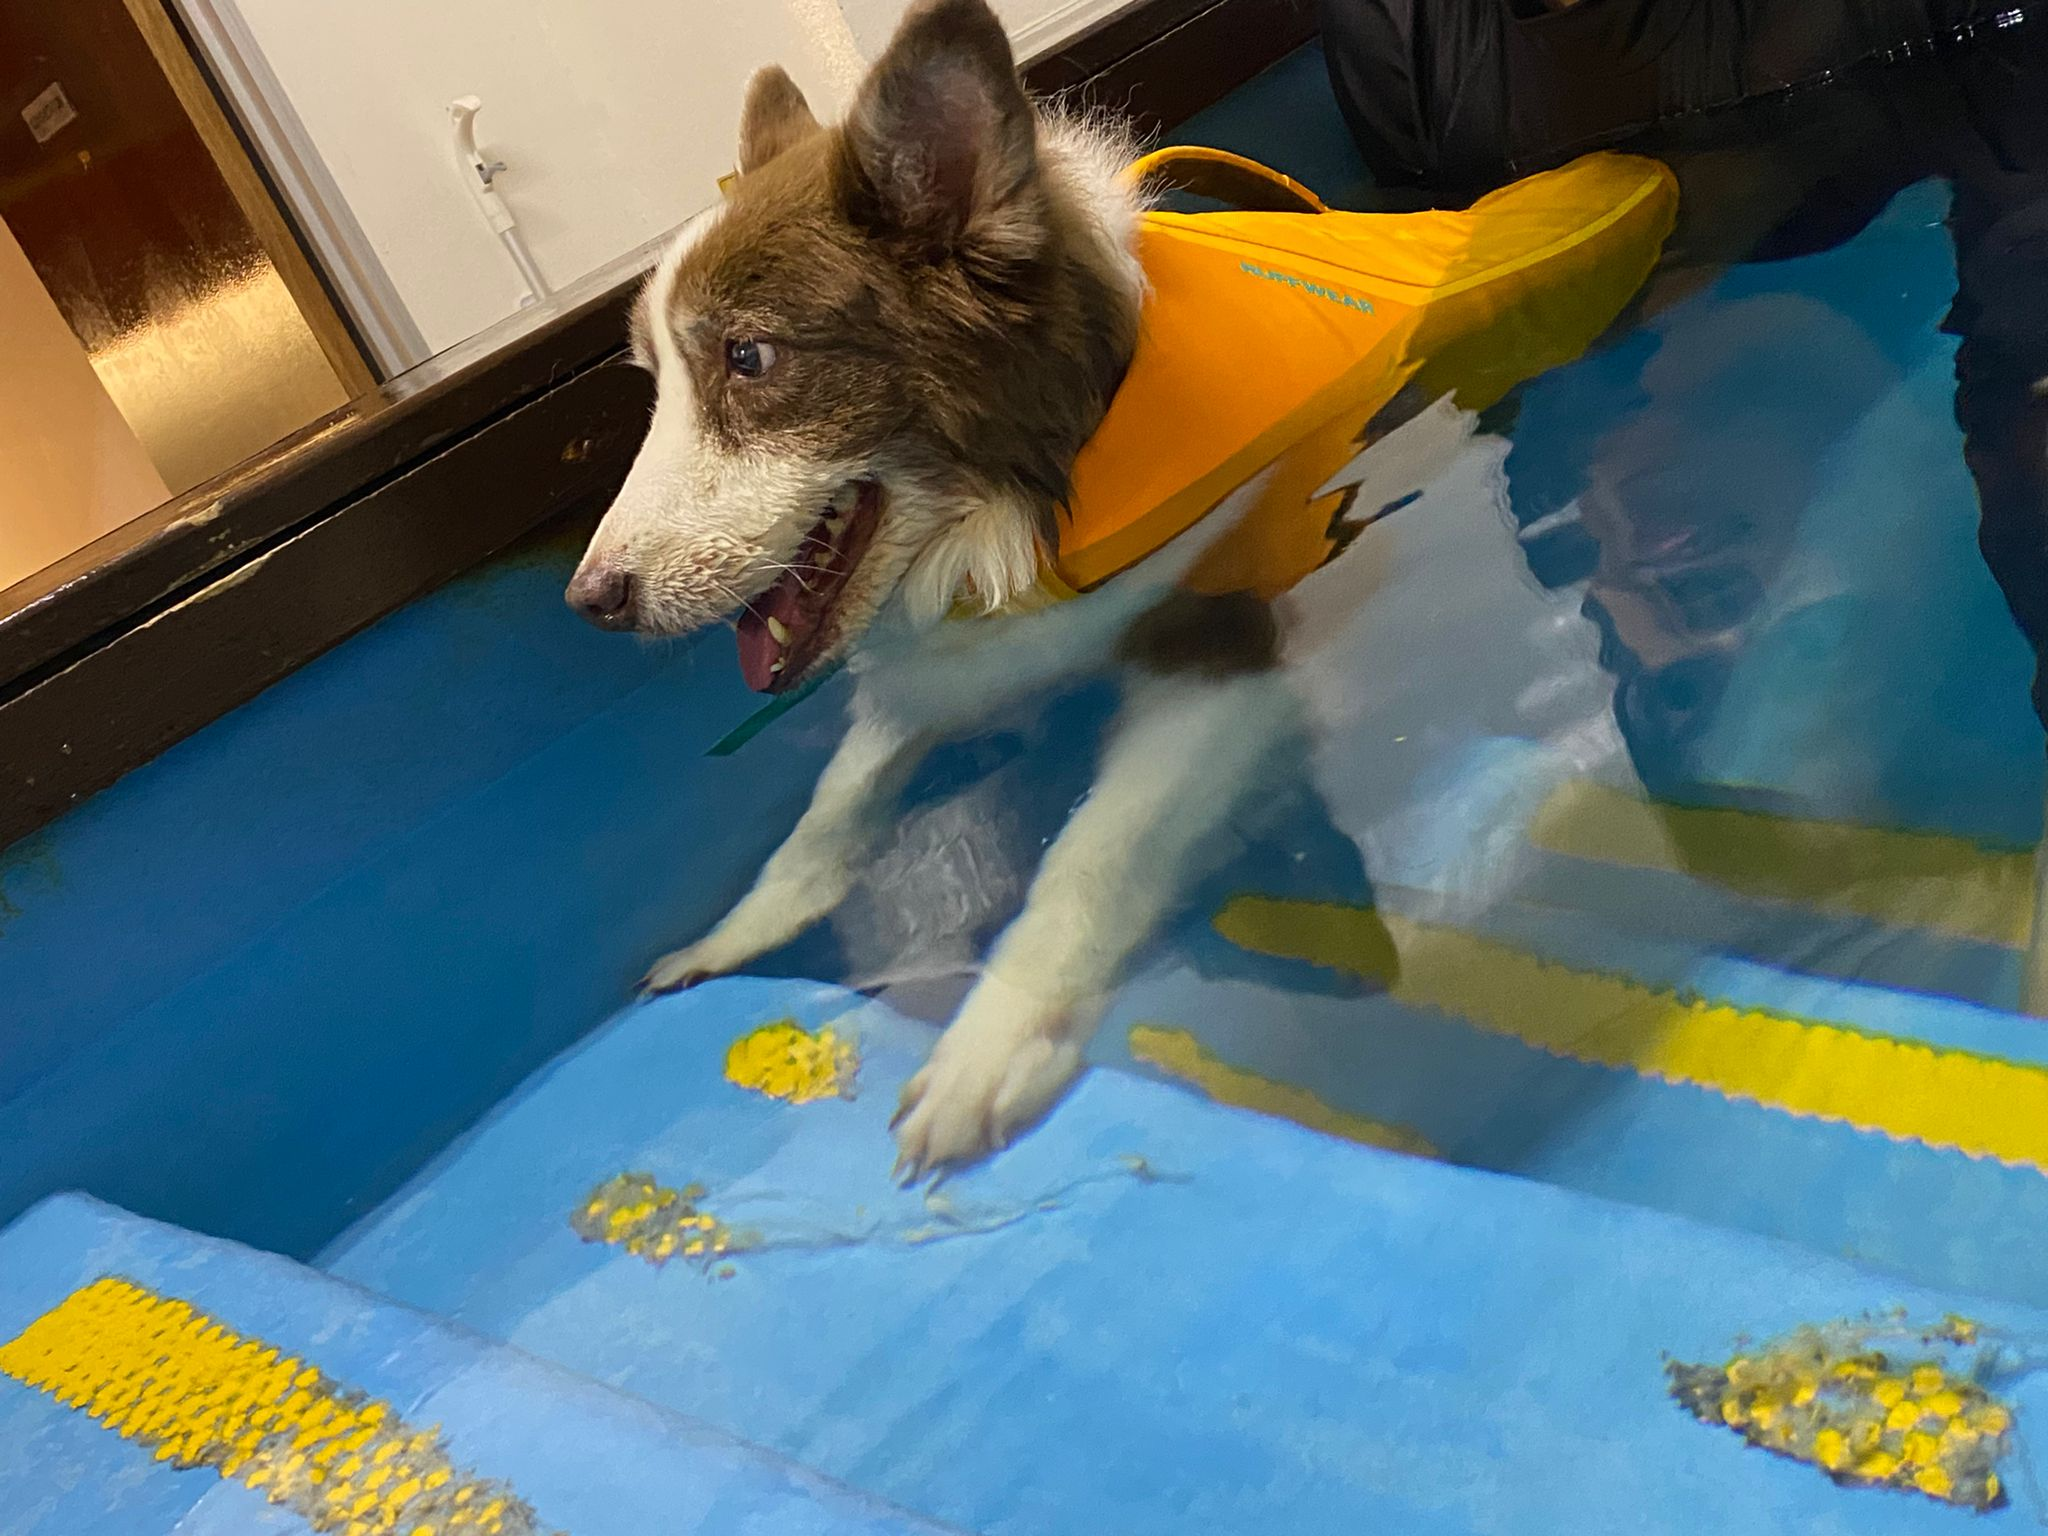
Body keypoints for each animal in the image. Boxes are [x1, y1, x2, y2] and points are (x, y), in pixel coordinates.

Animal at [569, 0, 1482, 1179]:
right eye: (654, 385)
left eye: (749, 357)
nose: (592, 600)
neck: (1023, 507)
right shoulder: (940, 663)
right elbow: (833, 805)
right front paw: (738, 931)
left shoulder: (1218, 643)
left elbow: (1090, 856)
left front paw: (989, 1046)